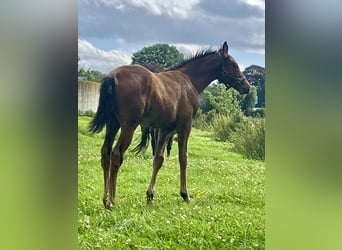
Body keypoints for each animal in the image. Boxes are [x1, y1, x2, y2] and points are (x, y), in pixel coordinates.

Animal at [89, 41, 248, 209]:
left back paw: (105, 198)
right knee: (116, 154)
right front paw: (185, 194)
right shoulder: (185, 127)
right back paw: (112, 201)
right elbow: (183, 158)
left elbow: (158, 159)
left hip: (113, 124)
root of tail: (113, 76)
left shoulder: (165, 129)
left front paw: (150, 195)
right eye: (234, 65)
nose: (247, 86)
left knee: (105, 153)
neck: (189, 80)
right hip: (129, 126)